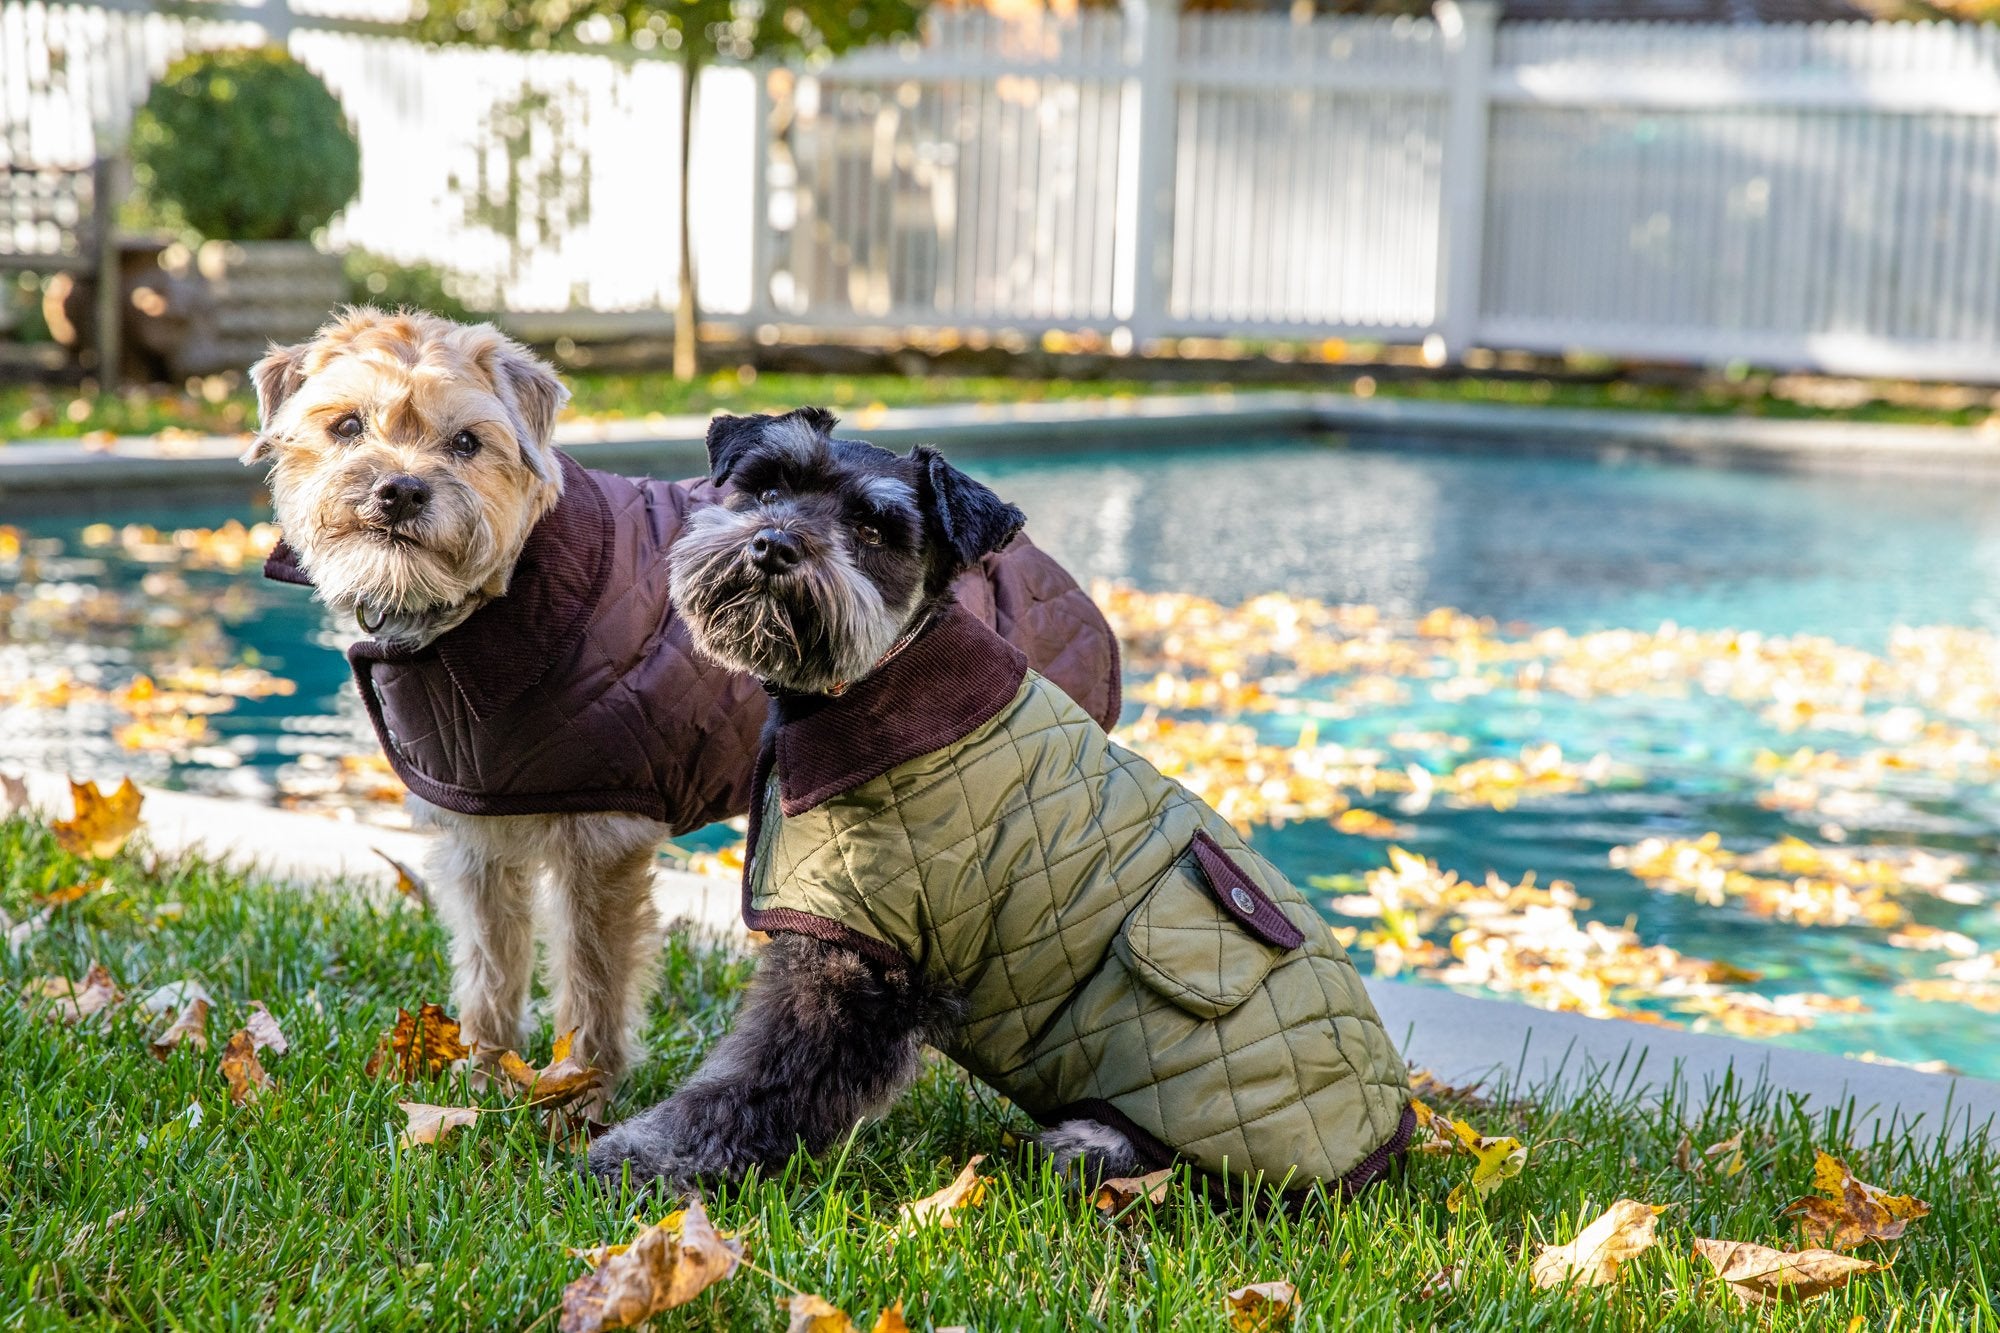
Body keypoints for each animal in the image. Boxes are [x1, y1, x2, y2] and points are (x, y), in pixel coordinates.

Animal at [242, 308, 1128, 1080]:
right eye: (346, 427)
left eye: (466, 442)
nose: (399, 491)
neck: (506, 588)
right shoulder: (480, 839)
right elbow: (492, 968)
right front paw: (484, 1074)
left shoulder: (603, 838)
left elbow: (594, 981)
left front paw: (581, 1093)